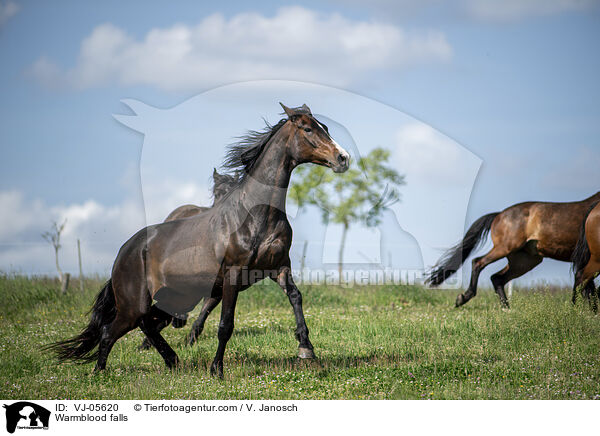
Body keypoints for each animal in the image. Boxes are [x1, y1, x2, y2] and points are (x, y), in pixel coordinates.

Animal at [48, 104, 352, 376]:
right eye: (308, 129)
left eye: (325, 128)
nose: (343, 158)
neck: (255, 214)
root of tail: (125, 251)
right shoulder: (232, 275)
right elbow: (225, 325)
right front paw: (216, 370)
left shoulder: (278, 267)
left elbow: (295, 297)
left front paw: (305, 347)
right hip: (134, 304)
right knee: (111, 331)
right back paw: (100, 373)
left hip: (176, 299)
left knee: (148, 324)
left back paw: (172, 361)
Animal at [426, 192, 600, 308]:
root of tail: (499, 215)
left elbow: (591, 288)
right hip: (507, 248)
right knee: (478, 263)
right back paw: (464, 298)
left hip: (524, 260)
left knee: (497, 278)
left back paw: (506, 309)